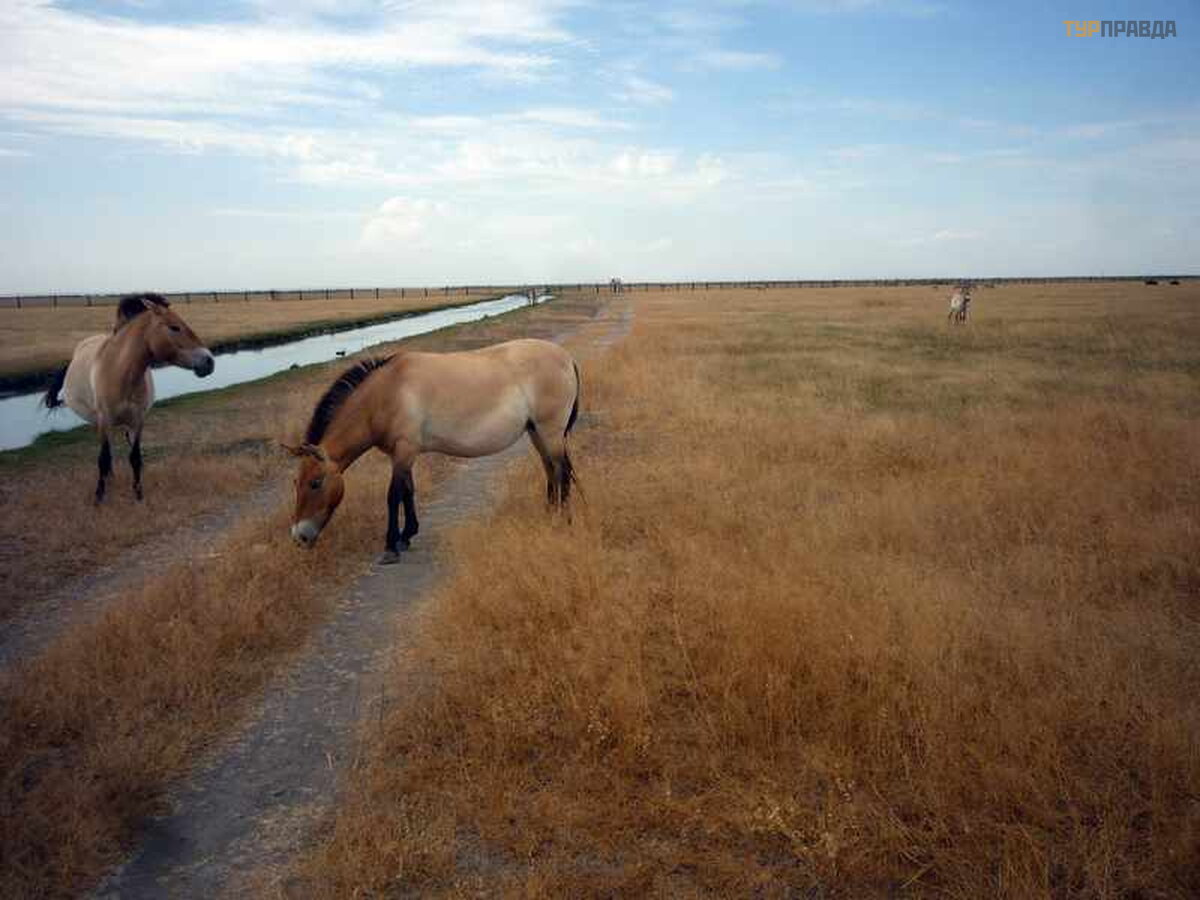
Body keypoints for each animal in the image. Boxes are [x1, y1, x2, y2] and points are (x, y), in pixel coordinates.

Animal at [41, 296, 216, 508]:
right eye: (175, 327)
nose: (209, 361)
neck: (120, 372)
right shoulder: (105, 420)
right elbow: (103, 458)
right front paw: (99, 498)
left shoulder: (137, 421)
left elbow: (135, 457)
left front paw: (138, 494)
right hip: (99, 422)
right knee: (107, 453)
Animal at [283, 338, 578, 564]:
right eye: (296, 482)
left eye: (315, 483)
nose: (299, 537)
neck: (386, 394)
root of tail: (566, 356)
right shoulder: (403, 454)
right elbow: (408, 490)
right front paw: (407, 535)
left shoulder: (404, 450)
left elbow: (393, 495)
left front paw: (391, 547)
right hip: (536, 432)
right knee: (550, 470)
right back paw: (549, 512)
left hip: (550, 432)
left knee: (561, 471)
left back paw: (562, 520)